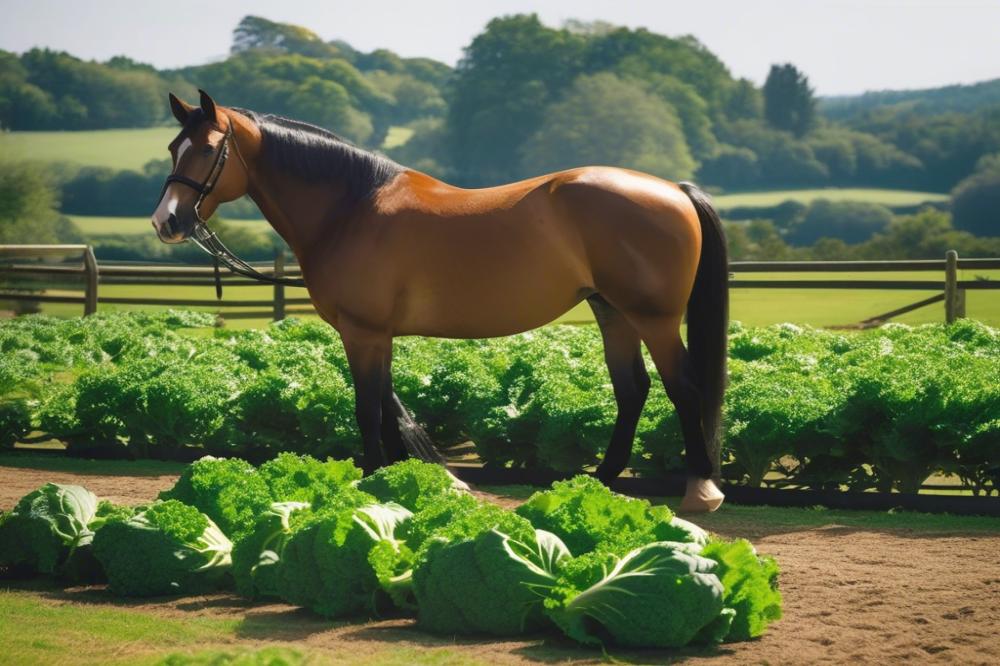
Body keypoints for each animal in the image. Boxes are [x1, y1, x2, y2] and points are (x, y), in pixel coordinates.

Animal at [150, 91, 728, 510]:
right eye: (174, 148)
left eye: (208, 148)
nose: (166, 222)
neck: (351, 207)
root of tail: (674, 189)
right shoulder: (377, 335)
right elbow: (387, 405)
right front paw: (405, 481)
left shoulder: (362, 332)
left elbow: (367, 408)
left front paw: (374, 481)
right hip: (612, 311)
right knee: (632, 390)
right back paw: (599, 481)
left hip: (653, 318)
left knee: (683, 388)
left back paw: (700, 490)